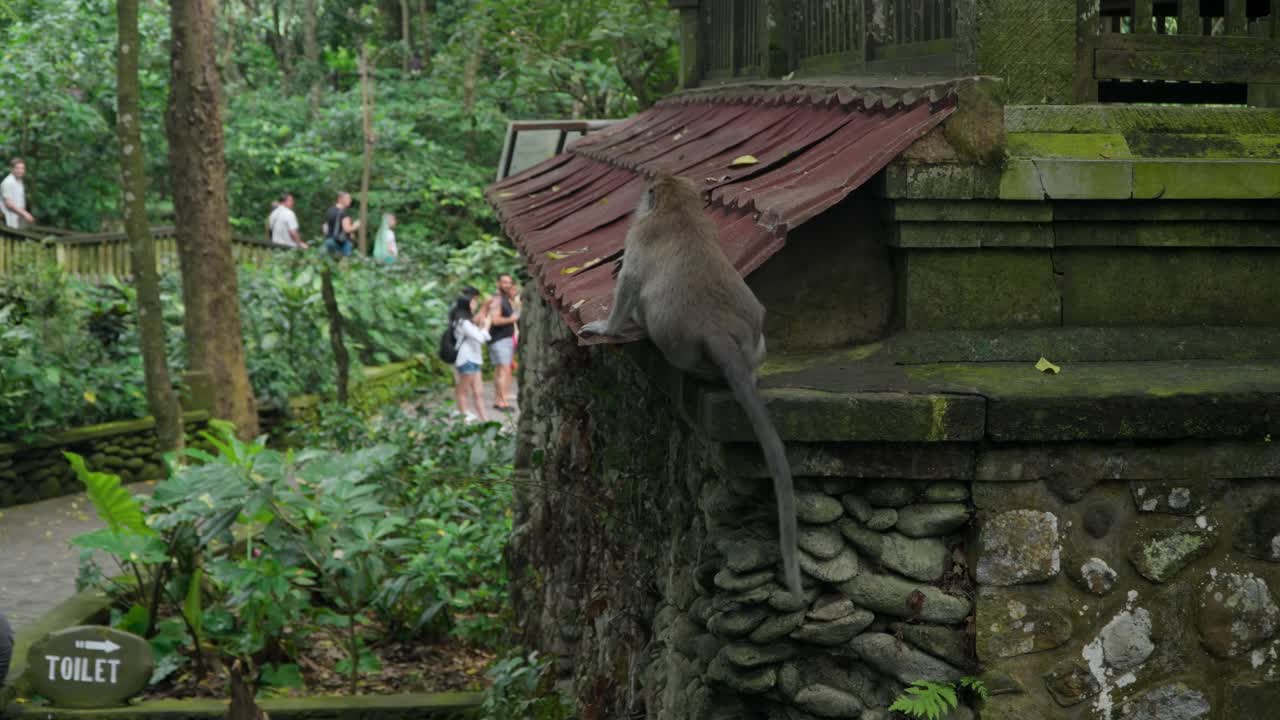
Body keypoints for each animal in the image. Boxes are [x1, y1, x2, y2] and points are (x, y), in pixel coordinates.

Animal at [579, 174, 800, 598]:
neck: (678, 209)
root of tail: (719, 330)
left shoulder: (639, 234)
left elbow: (629, 281)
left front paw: (607, 327)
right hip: (755, 339)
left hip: (676, 346)